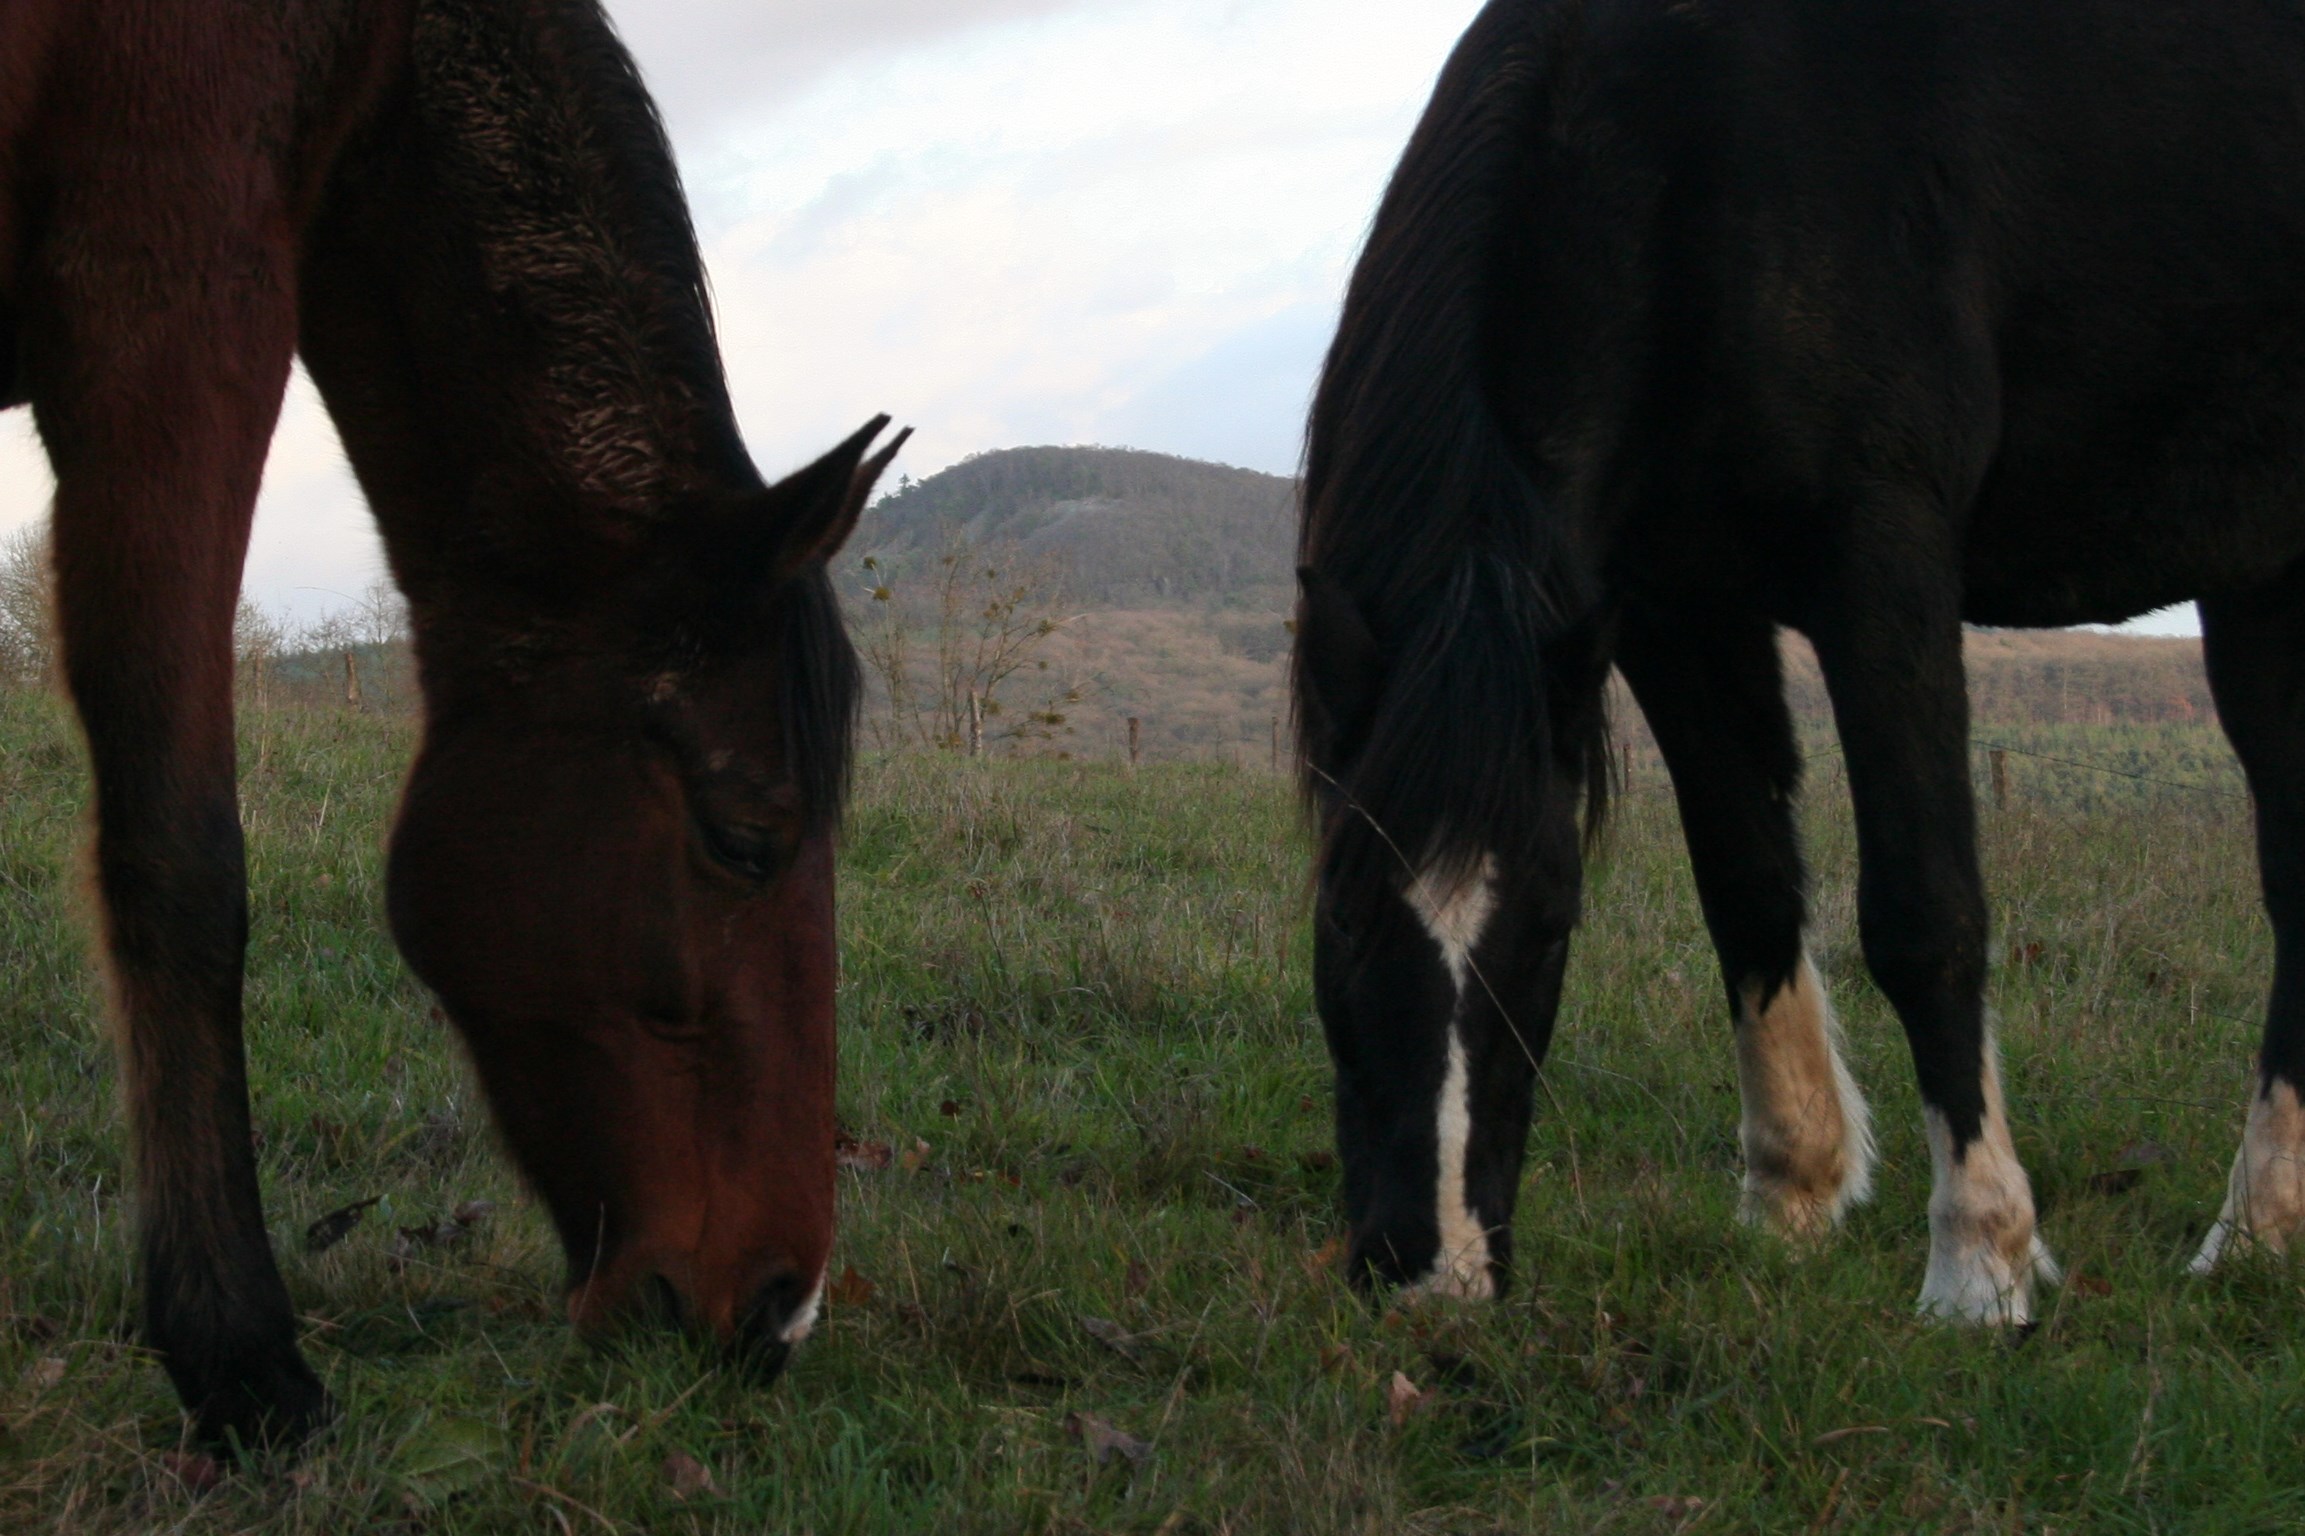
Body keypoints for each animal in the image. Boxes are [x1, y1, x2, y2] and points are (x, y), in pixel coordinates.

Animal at [1295, 0, 2305, 1324]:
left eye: (1556, 924)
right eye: (1341, 911)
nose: (1430, 1272)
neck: (1693, 149)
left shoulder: (1882, 565)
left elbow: (1923, 910)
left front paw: (1981, 1260)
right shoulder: (1677, 608)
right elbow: (1748, 883)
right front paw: (1793, 1194)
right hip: (2253, 577)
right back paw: (2262, 1232)